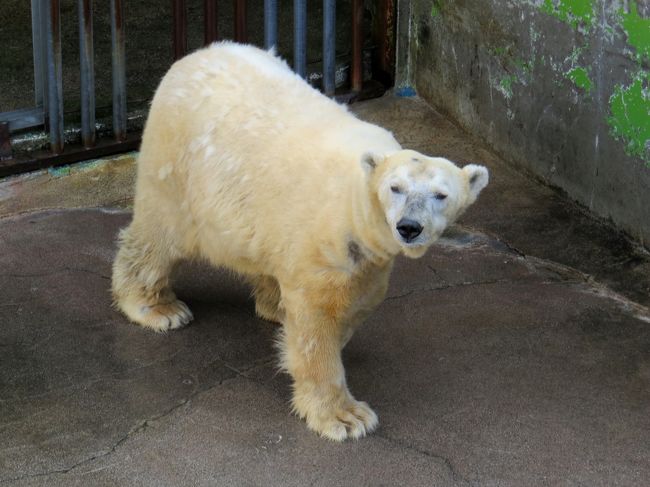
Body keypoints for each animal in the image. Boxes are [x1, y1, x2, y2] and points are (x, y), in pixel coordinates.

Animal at [111, 43, 486, 442]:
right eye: (395, 187)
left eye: (441, 195)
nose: (409, 227)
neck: (355, 195)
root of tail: (193, 57)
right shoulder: (325, 241)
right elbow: (318, 320)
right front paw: (345, 417)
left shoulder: (368, 254)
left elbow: (360, 298)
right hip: (177, 168)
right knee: (158, 236)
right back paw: (158, 308)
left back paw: (274, 304)